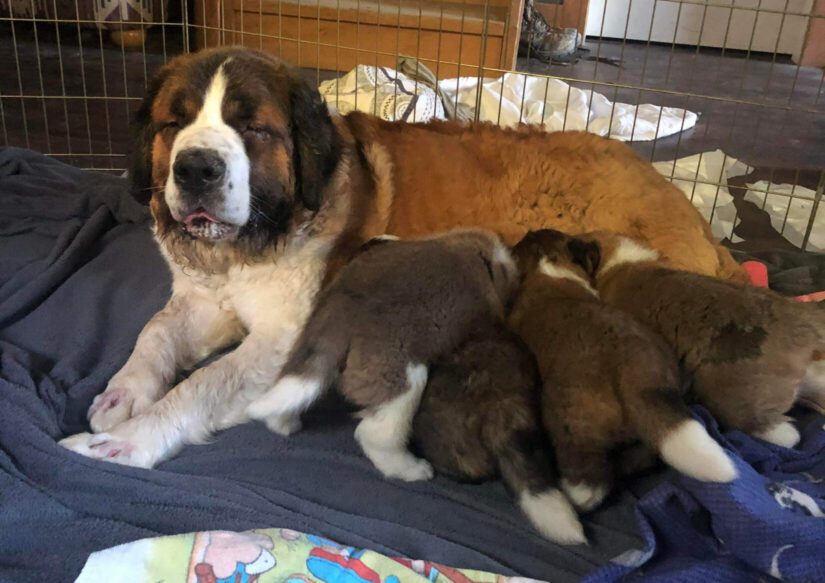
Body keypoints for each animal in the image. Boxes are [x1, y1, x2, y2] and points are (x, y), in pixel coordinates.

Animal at [245, 230, 520, 482]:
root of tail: (341, 310)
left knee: (291, 390)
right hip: (402, 381)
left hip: (302, 350)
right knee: (374, 434)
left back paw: (284, 424)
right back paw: (412, 470)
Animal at [508, 230, 732, 512]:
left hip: (571, 419)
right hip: (645, 437)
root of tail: (640, 382)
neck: (548, 266)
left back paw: (576, 494)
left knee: (589, 477)